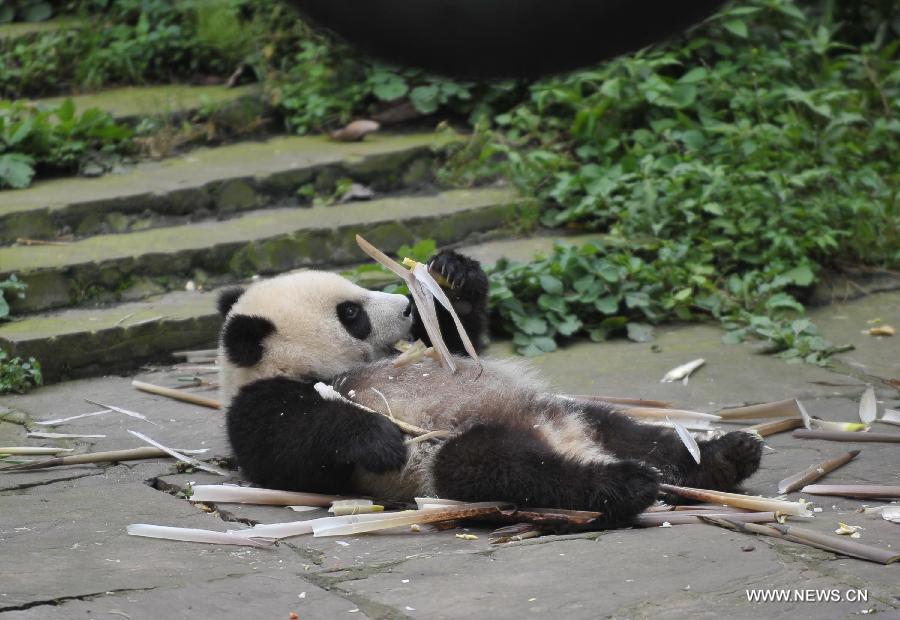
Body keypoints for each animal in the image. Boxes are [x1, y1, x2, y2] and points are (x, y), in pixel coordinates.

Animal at [216, 249, 760, 524]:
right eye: (351, 314)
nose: (407, 306)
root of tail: (567, 441)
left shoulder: (436, 351)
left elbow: (457, 342)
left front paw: (452, 275)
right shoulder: (260, 406)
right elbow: (291, 447)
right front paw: (379, 439)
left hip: (572, 413)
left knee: (634, 434)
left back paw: (726, 455)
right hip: (444, 459)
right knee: (502, 467)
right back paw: (623, 485)